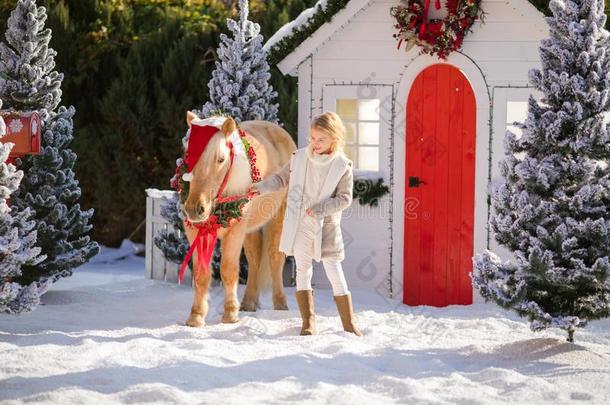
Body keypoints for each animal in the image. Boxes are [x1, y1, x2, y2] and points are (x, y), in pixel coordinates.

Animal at [179, 110, 296, 326]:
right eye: (188, 155)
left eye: (220, 159)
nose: (194, 209)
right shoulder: (195, 232)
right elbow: (201, 275)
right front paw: (196, 316)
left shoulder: (234, 231)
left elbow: (228, 270)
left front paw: (230, 314)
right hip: (250, 227)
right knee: (254, 256)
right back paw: (249, 302)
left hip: (278, 217)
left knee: (274, 257)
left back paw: (280, 304)